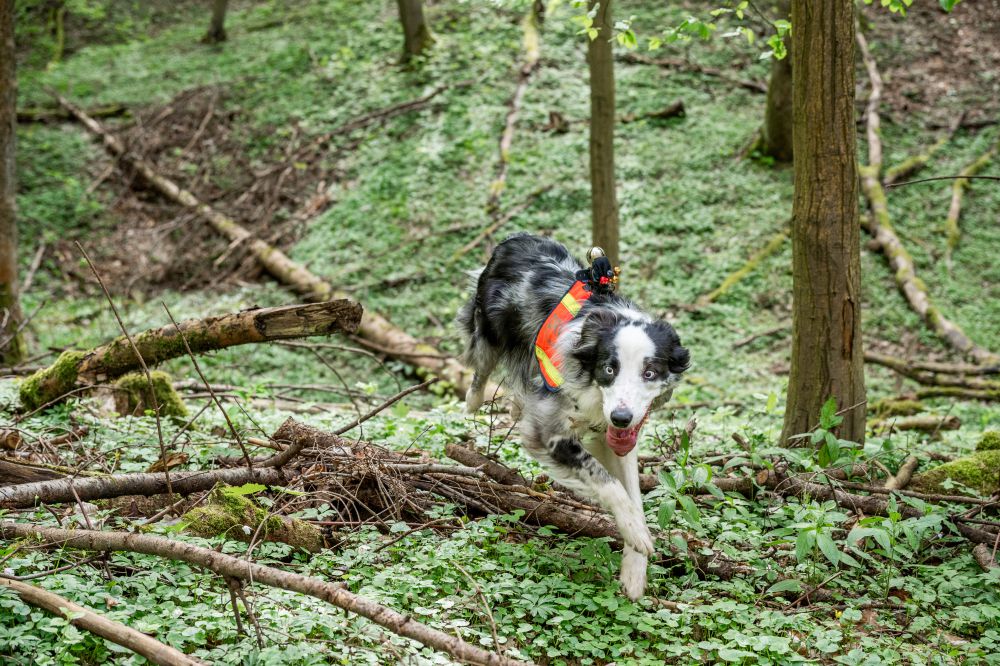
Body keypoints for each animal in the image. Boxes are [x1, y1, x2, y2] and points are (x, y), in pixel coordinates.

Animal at [458, 233, 688, 596]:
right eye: (609, 369)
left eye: (650, 373)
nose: (621, 418)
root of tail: (517, 237)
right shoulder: (548, 433)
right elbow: (606, 481)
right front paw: (635, 533)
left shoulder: (616, 436)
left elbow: (634, 493)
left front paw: (635, 569)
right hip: (488, 332)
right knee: (480, 367)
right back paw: (473, 399)